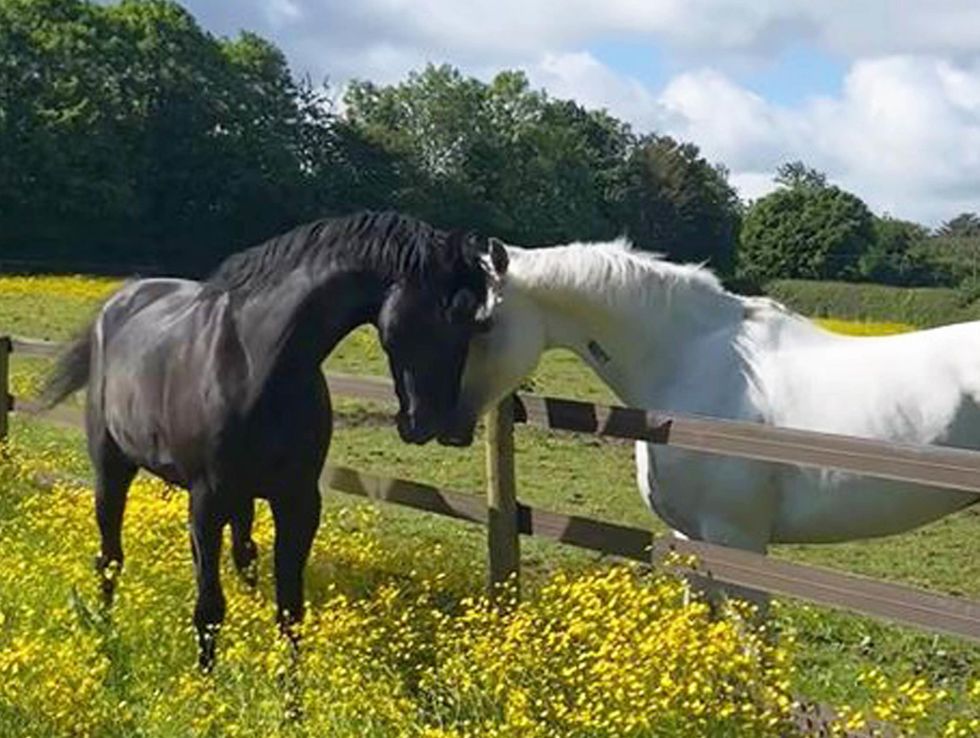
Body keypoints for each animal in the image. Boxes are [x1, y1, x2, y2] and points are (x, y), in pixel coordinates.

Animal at [42, 210, 510, 668]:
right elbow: (209, 608)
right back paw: (104, 634)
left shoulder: (298, 502)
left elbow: (290, 611)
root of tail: (118, 303)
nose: (434, 423)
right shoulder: (207, 502)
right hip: (113, 469)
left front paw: (290, 692)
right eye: (438, 314)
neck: (256, 363)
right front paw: (208, 687)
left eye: (477, 324)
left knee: (243, 555)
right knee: (110, 559)